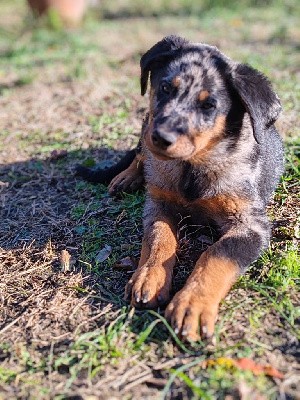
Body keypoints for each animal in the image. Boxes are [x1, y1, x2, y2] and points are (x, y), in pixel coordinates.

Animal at [77, 35, 284, 340]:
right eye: (165, 88)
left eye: (209, 106)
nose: (161, 138)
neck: (192, 165)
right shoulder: (159, 203)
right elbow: (158, 238)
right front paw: (148, 277)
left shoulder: (250, 224)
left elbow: (216, 254)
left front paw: (192, 303)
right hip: (146, 123)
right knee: (140, 153)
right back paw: (126, 177)